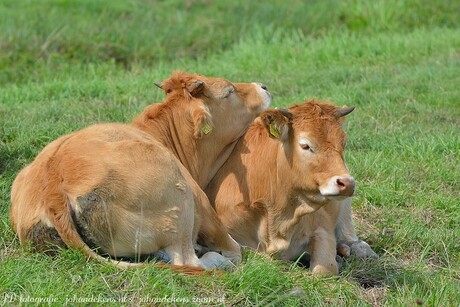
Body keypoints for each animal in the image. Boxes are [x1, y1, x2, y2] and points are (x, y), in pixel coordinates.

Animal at [10, 71, 272, 272]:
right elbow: (234, 249)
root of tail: (54, 183)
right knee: (188, 259)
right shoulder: (207, 210)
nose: (263, 86)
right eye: (228, 91)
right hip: (181, 198)